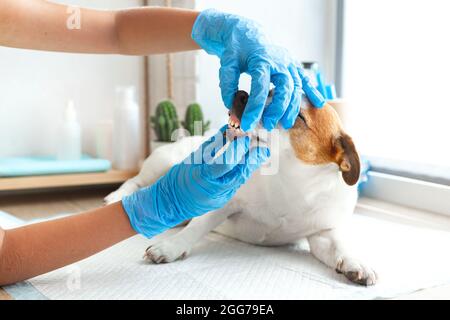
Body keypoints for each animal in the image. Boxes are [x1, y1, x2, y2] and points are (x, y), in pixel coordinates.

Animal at [104, 90, 376, 288]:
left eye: (298, 117)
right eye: (272, 90)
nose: (242, 93)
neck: (288, 182)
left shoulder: (323, 232)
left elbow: (339, 246)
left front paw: (356, 263)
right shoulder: (222, 202)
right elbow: (196, 229)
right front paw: (169, 247)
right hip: (162, 163)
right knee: (137, 183)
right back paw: (118, 197)